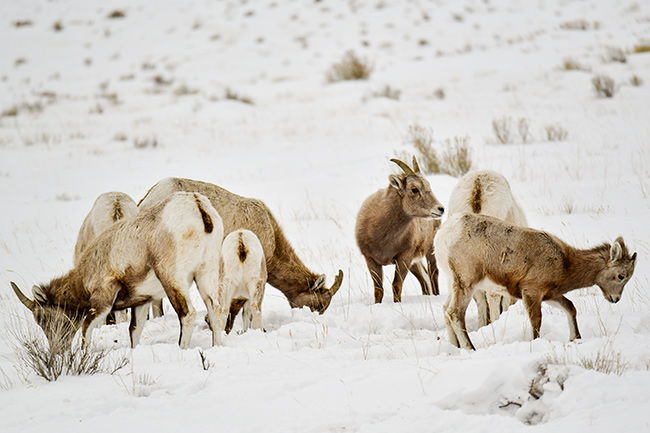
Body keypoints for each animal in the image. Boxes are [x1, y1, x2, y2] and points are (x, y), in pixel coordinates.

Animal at [11, 191, 224, 350]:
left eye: (42, 317)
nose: (57, 350)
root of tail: (197, 205)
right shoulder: (142, 302)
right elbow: (134, 331)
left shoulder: (103, 301)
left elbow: (86, 329)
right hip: (206, 275)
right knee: (216, 311)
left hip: (173, 279)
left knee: (187, 314)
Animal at [354, 157, 446, 302]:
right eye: (414, 189)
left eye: (428, 186)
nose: (440, 209)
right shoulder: (371, 260)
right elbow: (378, 290)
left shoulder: (404, 257)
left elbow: (396, 285)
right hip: (415, 262)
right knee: (424, 277)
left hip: (430, 249)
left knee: (433, 273)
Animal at [432, 213, 636, 352]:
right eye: (621, 276)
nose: (615, 299)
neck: (565, 263)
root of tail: (444, 234)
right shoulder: (531, 292)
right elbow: (536, 322)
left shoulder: (551, 295)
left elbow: (570, 308)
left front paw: (575, 338)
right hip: (467, 283)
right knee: (455, 312)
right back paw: (470, 348)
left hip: (454, 282)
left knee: (445, 309)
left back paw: (455, 347)